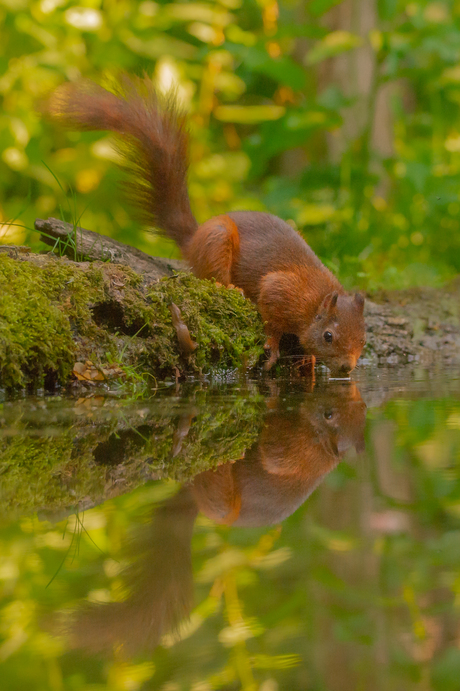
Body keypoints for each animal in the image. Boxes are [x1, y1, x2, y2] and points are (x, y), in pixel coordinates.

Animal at [47, 75, 366, 376]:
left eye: (364, 339)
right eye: (328, 336)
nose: (347, 368)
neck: (315, 302)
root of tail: (193, 239)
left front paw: (308, 359)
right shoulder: (281, 290)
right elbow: (271, 319)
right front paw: (274, 346)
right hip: (217, 238)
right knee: (213, 277)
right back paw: (231, 288)